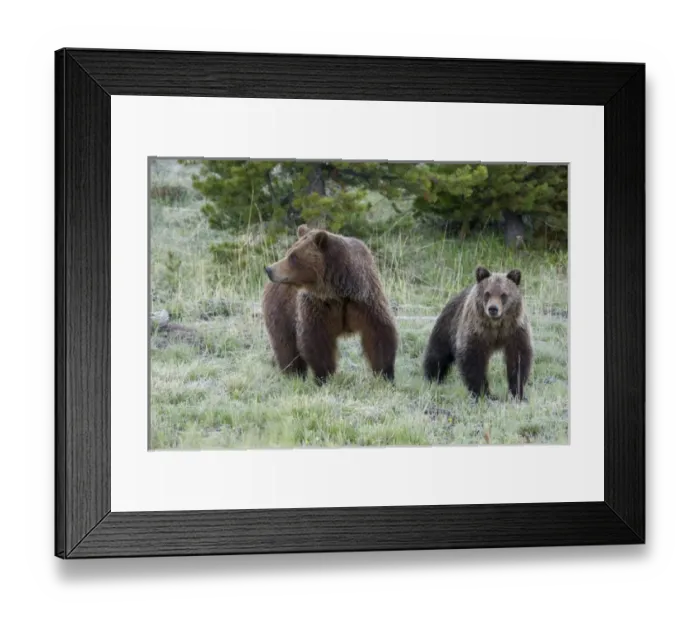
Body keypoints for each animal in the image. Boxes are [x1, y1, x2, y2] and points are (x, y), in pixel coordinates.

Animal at [262, 224, 398, 385]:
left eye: (293, 256)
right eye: (289, 252)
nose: (269, 269)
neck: (338, 291)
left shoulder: (365, 300)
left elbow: (379, 332)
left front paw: (386, 374)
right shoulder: (318, 306)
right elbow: (316, 339)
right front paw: (324, 376)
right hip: (282, 311)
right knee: (286, 345)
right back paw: (293, 373)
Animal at [423, 266, 533, 401]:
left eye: (503, 294)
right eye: (487, 293)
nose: (493, 308)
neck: (496, 326)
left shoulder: (515, 331)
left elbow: (518, 358)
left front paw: (517, 392)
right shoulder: (477, 331)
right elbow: (473, 359)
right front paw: (483, 393)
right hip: (448, 324)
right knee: (438, 352)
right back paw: (433, 377)